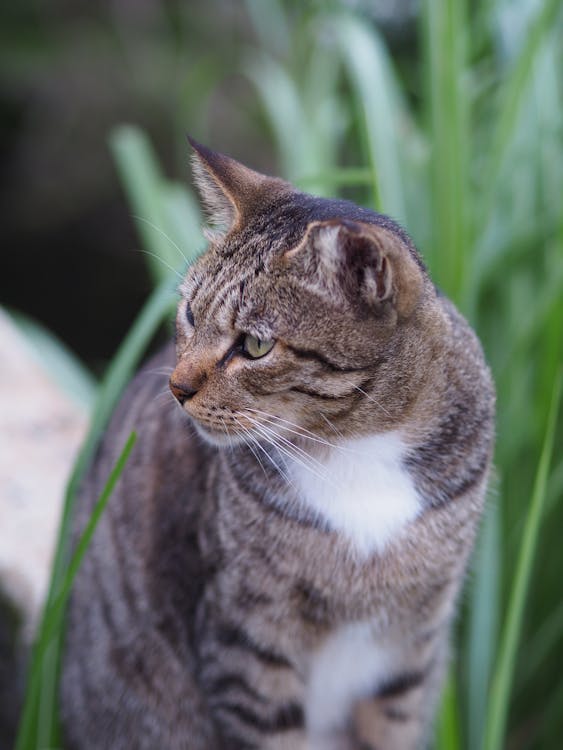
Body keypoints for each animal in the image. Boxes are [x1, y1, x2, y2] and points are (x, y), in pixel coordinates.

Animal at [59, 141, 496, 750]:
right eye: (190, 313)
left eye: (256, 346)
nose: (177, 388)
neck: (358, 450)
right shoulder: (249, 645)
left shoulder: (411, 648)